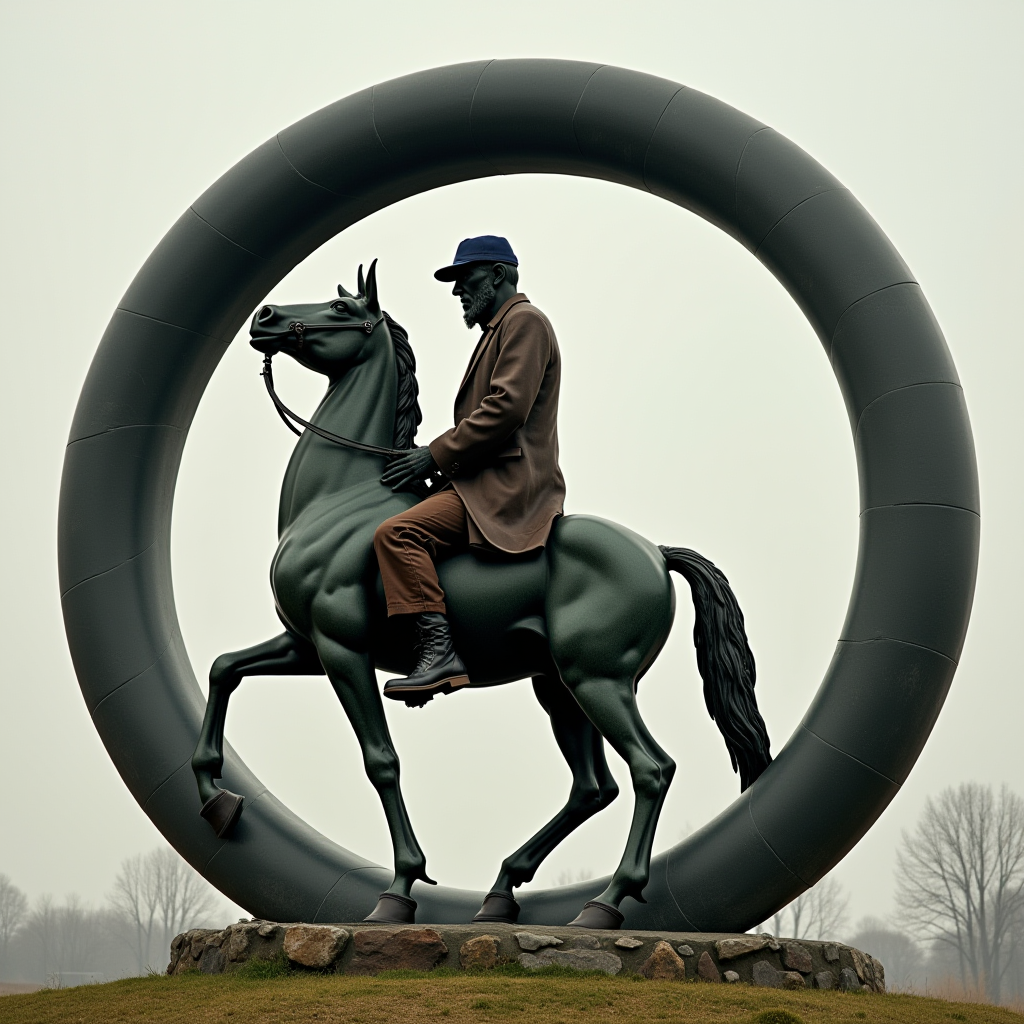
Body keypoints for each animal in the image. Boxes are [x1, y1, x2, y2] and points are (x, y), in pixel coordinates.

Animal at [190, 262, 770, 929]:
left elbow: (381, 760)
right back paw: (501, 891)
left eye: (340, 310)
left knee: (651, 770)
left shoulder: (341, 650)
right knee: (593, 787)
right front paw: (215, 797)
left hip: (598, 680)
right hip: (558, 686)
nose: (265, 318)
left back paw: (603, 903)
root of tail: (654, 551)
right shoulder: (305, 646)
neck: (341, 497)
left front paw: (399, 888)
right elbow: (224, 669)